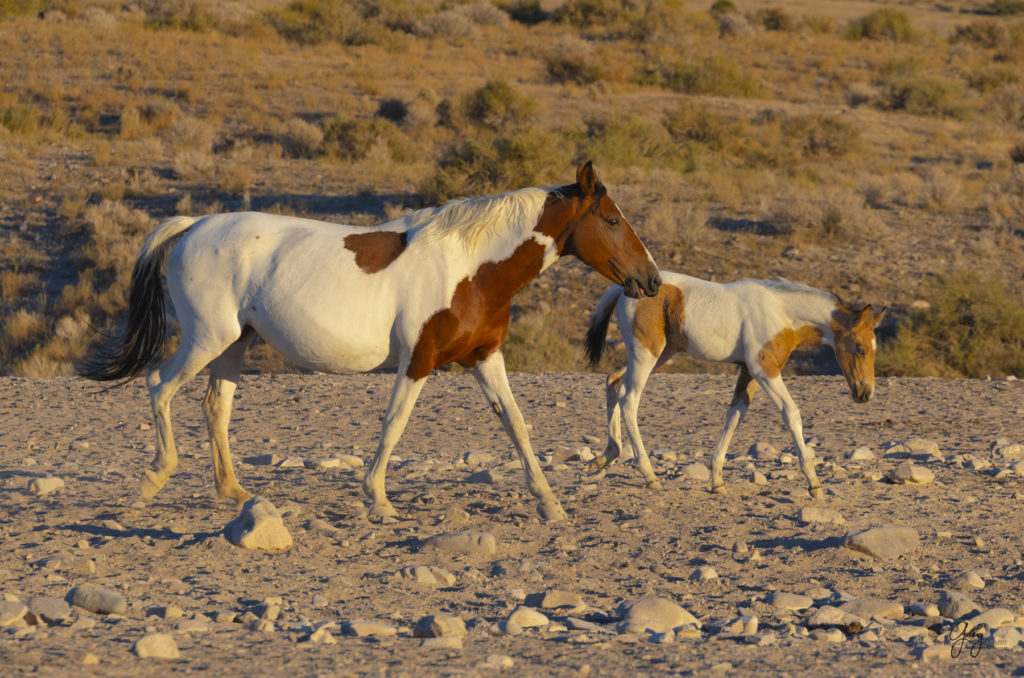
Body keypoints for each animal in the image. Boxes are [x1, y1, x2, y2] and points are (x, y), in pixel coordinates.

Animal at [77, 161, 655, 522]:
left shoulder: (485, 358)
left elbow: (515, 424)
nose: (649, 280)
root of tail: (193, 226)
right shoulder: (419, 360)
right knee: (159, 385)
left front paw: (549, 504)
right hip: (205, 338)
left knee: (214, 405)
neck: (470, 268)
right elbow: (394, 423)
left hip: (234, 344)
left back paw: (233, 491)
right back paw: (154, 479)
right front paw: (377, 499)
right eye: (611, 219)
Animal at [589, 274, 884, 501]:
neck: (781, 312)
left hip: (660, 354)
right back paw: (649, 474)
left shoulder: (748, 372)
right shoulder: (764, 370)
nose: (865, 393)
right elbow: (791, 413)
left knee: (613, 382)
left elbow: (734, 415)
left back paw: (607, 455)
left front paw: (717, 480)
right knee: (629, 399)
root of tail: (623, 288)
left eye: (875, 350)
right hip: (646, 355)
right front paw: (814, 483)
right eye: (860, 349)